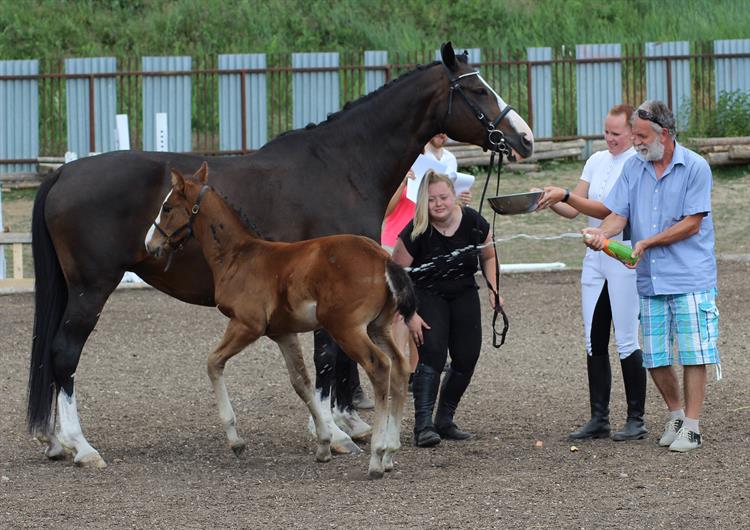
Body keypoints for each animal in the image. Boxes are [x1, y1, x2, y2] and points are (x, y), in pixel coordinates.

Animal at [145, 163, 418, 476]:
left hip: (347, 329)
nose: (150, 244)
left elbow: (213, 363)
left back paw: (377, 456)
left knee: (380, 367)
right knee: (400, 367)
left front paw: (236, 441)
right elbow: (301, 382)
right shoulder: (282, 333)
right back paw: (391, 453)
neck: (238, 256)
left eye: (167, 207)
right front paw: (324, 443)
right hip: (378, 328)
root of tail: (383, 258)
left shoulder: (246, 325)